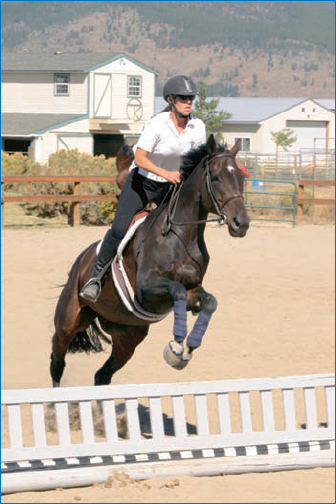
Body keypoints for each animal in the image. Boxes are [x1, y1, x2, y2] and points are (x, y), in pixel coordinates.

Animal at [50, 134, 249, 386]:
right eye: (215, 177)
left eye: (241, 177)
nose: (241, 223)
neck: (180, 235)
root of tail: (81, 260)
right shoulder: (146, 290)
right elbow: (177, 291)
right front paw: (176, 346)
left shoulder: (194, 289)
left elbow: (209, 302)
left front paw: (188, 347)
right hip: (69, 320)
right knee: (57, 360)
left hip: (127, 336)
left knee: (102, 375)